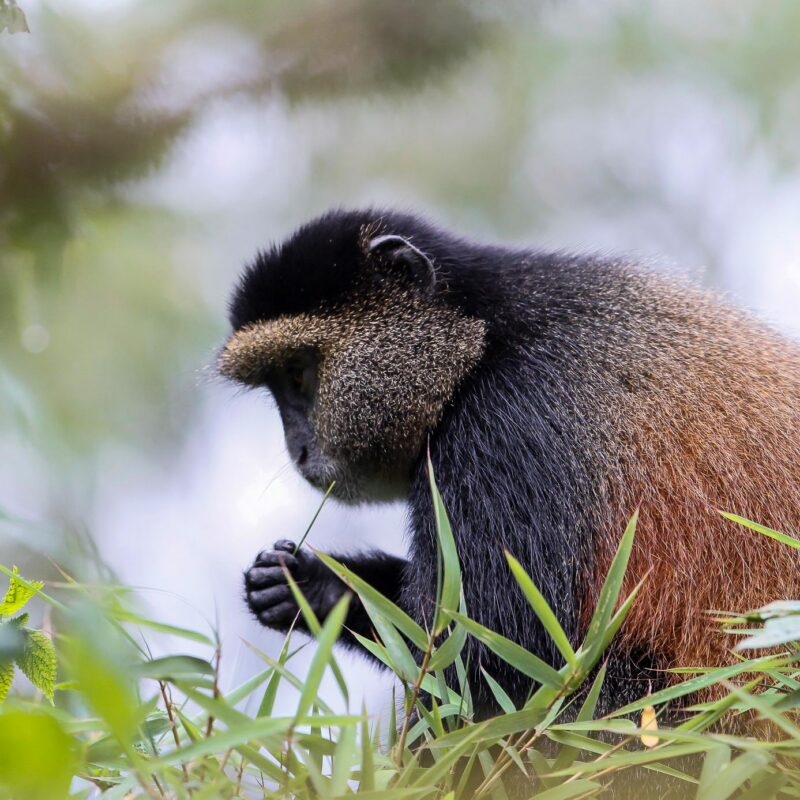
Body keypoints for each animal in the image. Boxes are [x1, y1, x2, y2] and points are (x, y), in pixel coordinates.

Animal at [218, 208, 800, 722]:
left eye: (297, 375)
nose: (297, 448)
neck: (481, 336)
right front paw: (315, 587)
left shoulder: (502, 431)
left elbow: (493, 663)